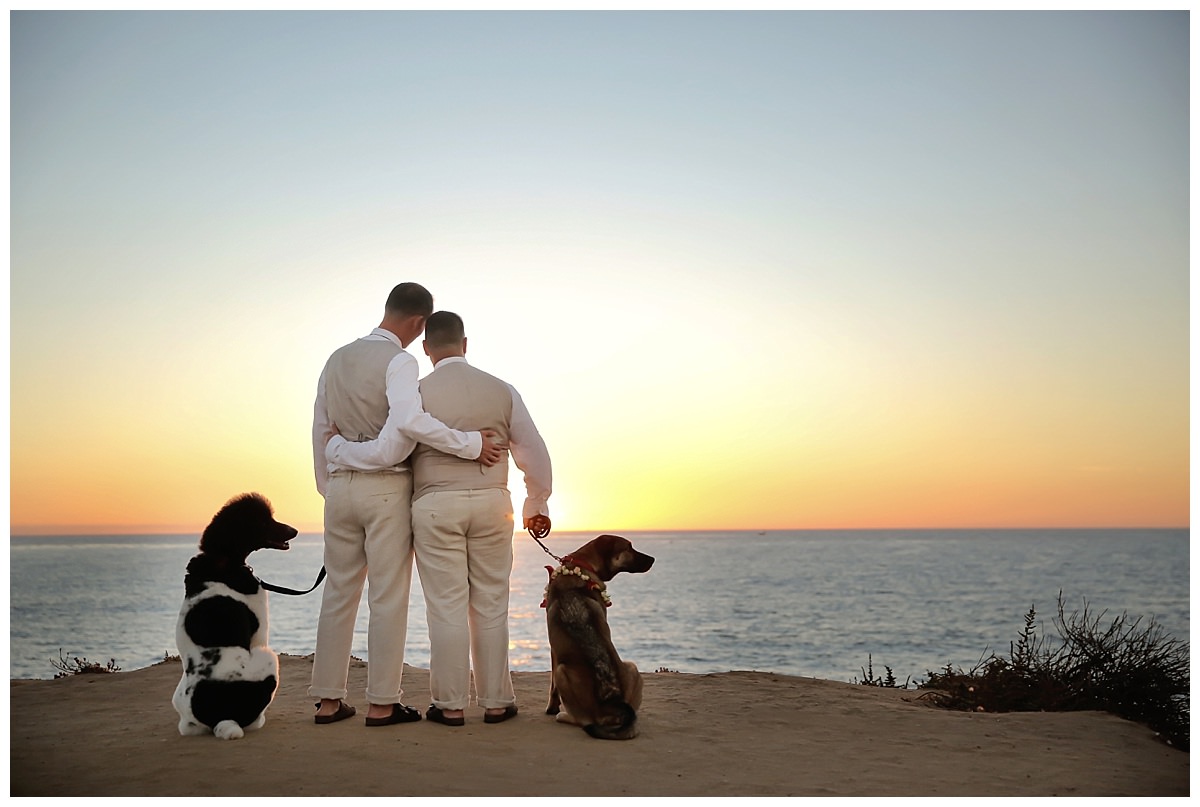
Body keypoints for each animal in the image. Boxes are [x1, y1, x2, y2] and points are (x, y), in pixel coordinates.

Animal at [544, 533, 657, 739]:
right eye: (629, 547)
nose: (653, 559)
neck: (581, 564)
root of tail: (612, 705)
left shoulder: (553, 652)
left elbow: (552, 687)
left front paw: (552, 708)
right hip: (632, 667)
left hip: (562, 671)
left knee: (583, 720)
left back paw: (563, 715)